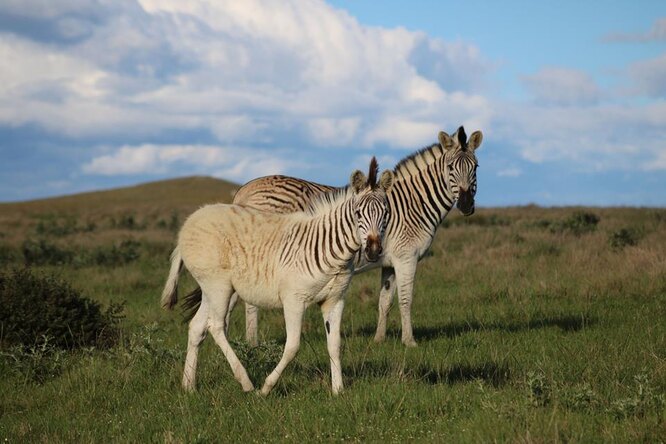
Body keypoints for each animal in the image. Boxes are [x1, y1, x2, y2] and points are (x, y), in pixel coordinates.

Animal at [160, 161, 392, 394]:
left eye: (386, 213)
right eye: (358, 213)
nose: (373, 251)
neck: (329, 250)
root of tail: (191, 220)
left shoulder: (335, 300)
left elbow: (335, 345)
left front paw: (338, 391)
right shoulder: (293, 300)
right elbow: (293, 346)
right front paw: (266, 387)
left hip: (210, 289)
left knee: (197, 326)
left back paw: (189, 386)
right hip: (219, 286)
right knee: (215, 325)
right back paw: (246, 382)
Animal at [184, 125, 480, 346]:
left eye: (475, 168)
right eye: (451, 168)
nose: (466, 205)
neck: (413, 203)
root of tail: (244, 189)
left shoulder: (389, 262)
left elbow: (384, 302)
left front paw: (379, 339)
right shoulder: (407, 258)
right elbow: (406, 300)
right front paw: (410, 342)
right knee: (248, 304)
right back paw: (252, 344)